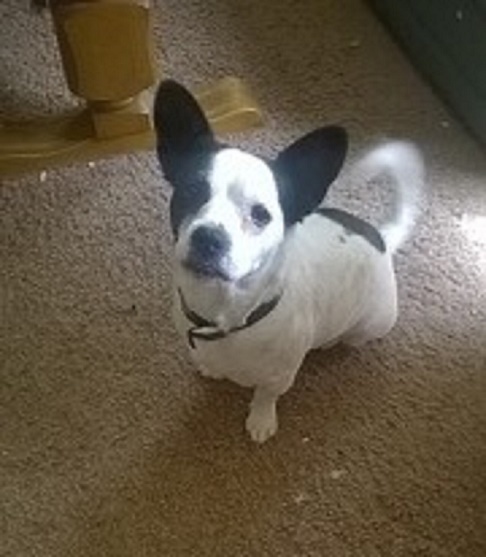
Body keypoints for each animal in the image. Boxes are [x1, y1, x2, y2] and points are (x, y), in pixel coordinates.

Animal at [153, 80, 424, 443]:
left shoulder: (279, 378)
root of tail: (380, 238)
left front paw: (261, 419)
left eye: (261, 215)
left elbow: (265, 395)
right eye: (192, 191)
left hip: (373, 324)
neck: (226, 315)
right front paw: (210, 368)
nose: (208, 237)